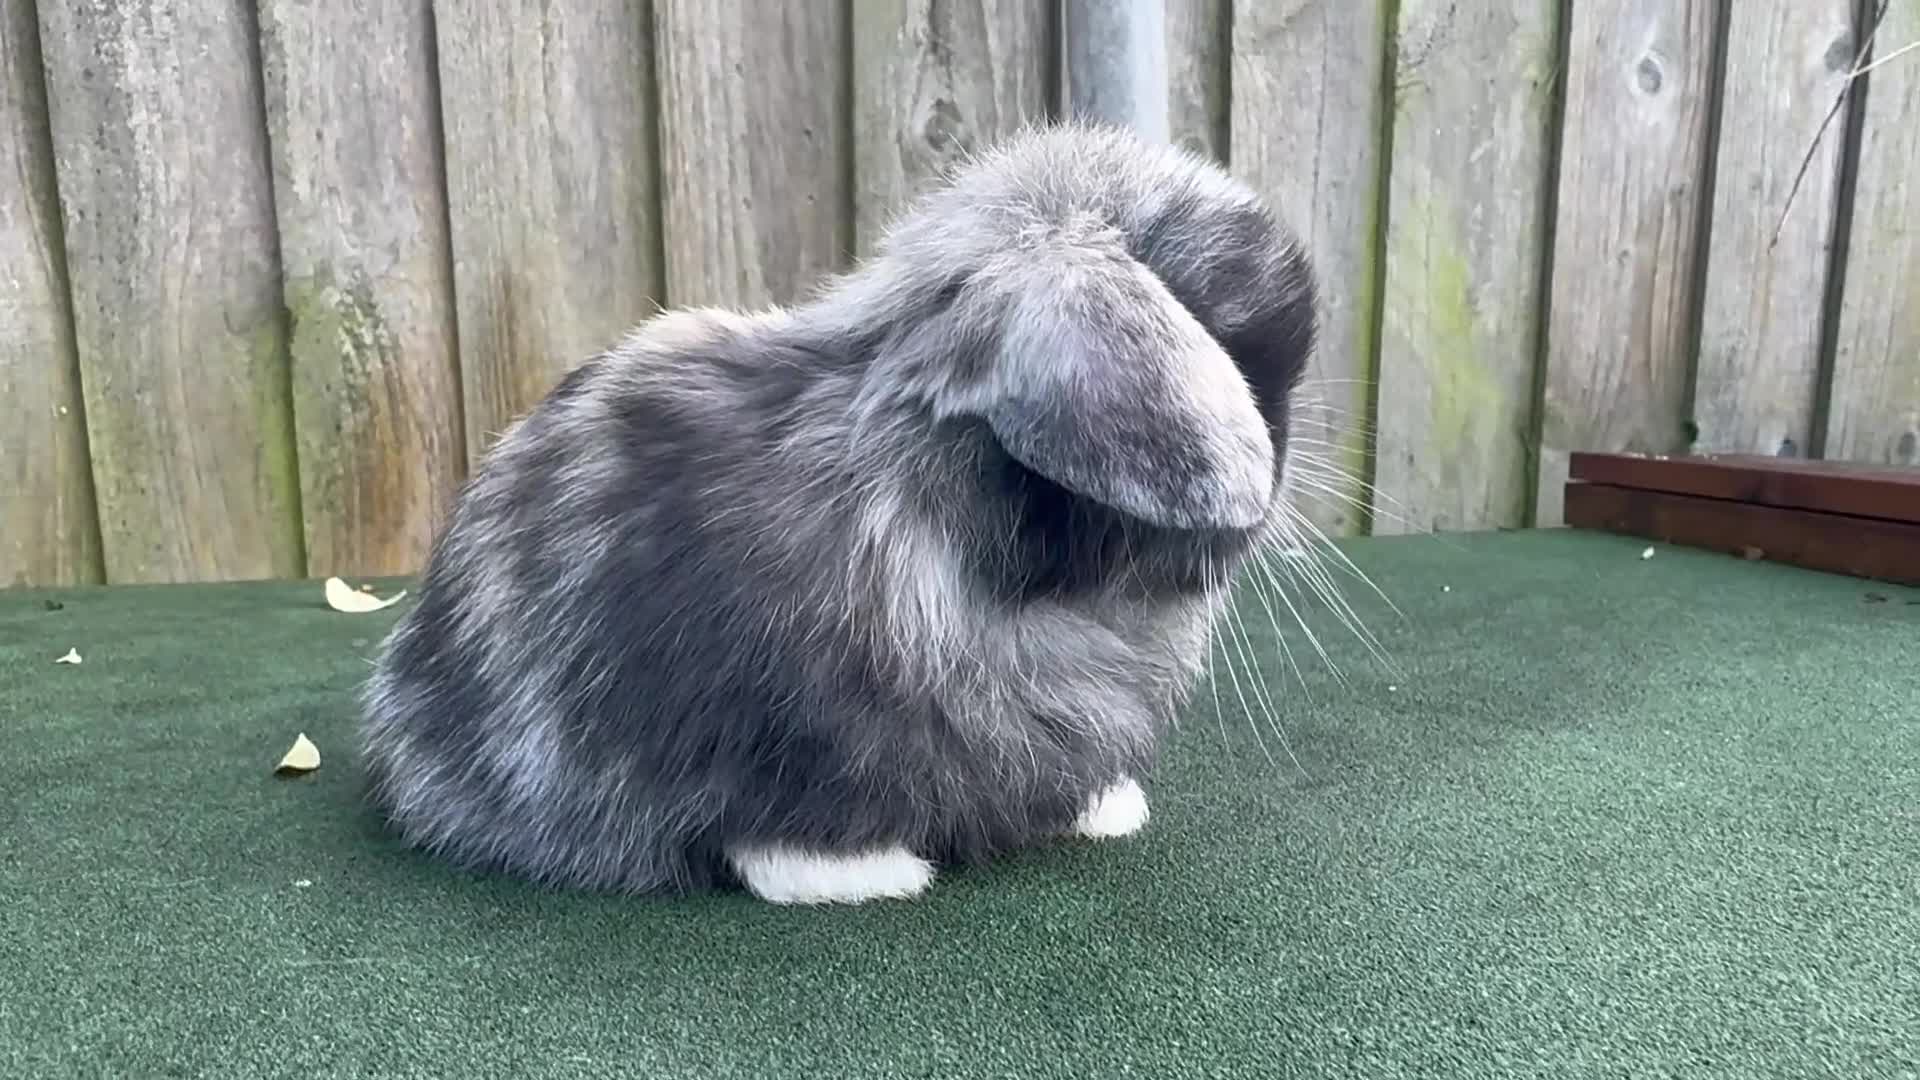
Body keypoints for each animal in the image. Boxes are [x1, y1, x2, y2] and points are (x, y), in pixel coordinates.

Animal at [356, 121, 1319, 905]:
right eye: (1231, 349)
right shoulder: (758, 734)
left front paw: (1105, 810)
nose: (1275, 473)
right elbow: (771, 822)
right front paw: (864, 874)